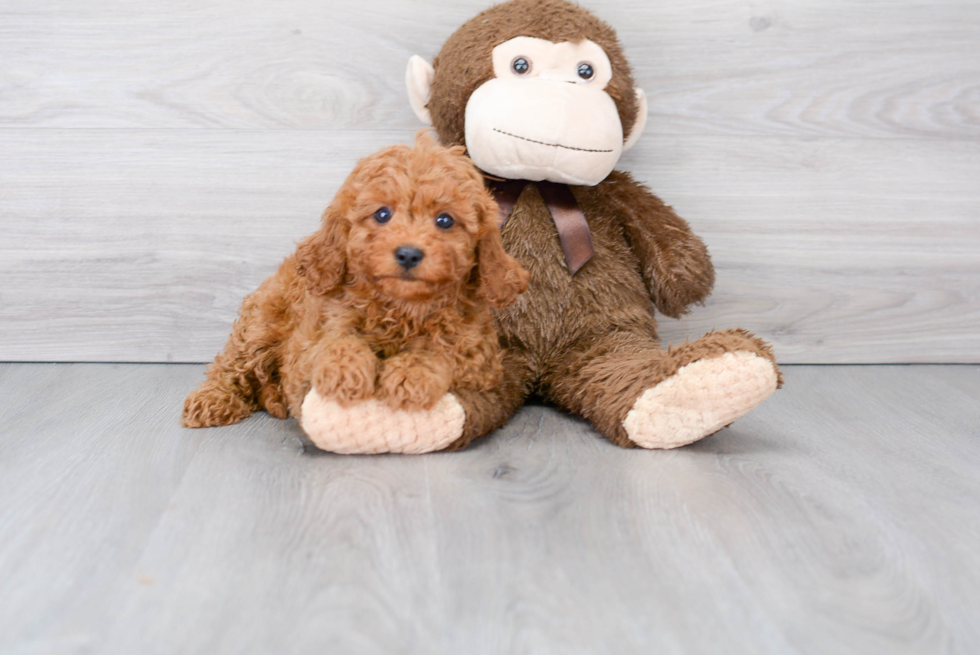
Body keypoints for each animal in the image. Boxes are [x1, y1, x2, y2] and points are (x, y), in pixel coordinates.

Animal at [183, 133, 528, 452]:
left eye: (445, 220)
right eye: (382, 214)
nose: (408, 254)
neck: (401, 309)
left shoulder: (480, 361)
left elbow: (442, 352)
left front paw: (410, 375)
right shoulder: (309, 343)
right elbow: (334, 341)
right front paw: (343, 370)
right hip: (261, 323)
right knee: (230, 364)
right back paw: (211, 400)